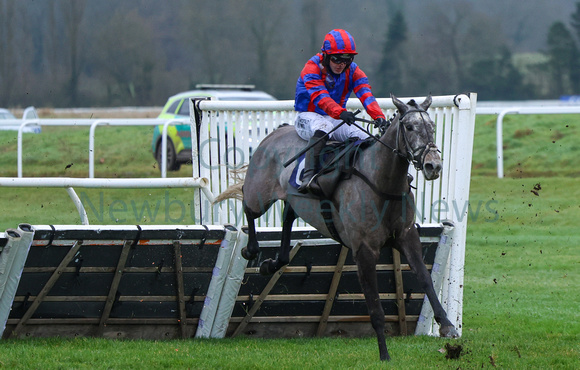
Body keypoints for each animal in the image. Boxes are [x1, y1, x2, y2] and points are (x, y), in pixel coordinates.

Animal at [220, 94, 456, 362]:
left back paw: (273, 263)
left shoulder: (407, 236)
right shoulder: (364, 251)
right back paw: (250, 250)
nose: (433, 166)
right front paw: (384, 353)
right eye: (409, 127)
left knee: (288, 217)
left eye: (432, 127)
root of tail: (276, 132)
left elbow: (426, 279)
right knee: (248, 208)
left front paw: (447, 324)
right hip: (259, 194)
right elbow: (375, 307)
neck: (382, 183)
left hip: (294, 200)